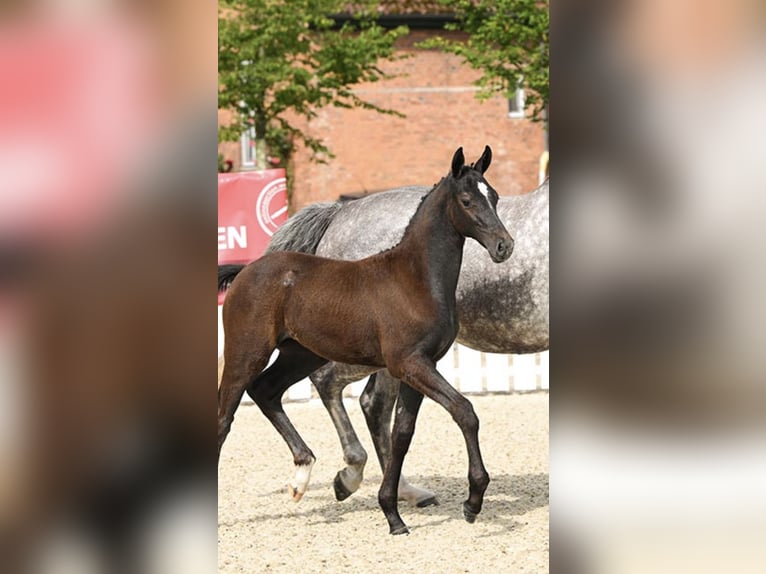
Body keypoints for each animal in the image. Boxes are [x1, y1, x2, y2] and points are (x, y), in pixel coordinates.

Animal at [219, 146, 512, 536]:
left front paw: (393, 514)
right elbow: (465, 412)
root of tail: (245, 271)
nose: (504, 246)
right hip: (245, 353)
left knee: (266, 390)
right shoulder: (409, 363)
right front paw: (472, 502)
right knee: (225, 416)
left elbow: (402, 432)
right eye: (466, 200)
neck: (416, 279)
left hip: (300, 355)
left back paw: (302, 475)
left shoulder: (420, 367)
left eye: (494, 196)